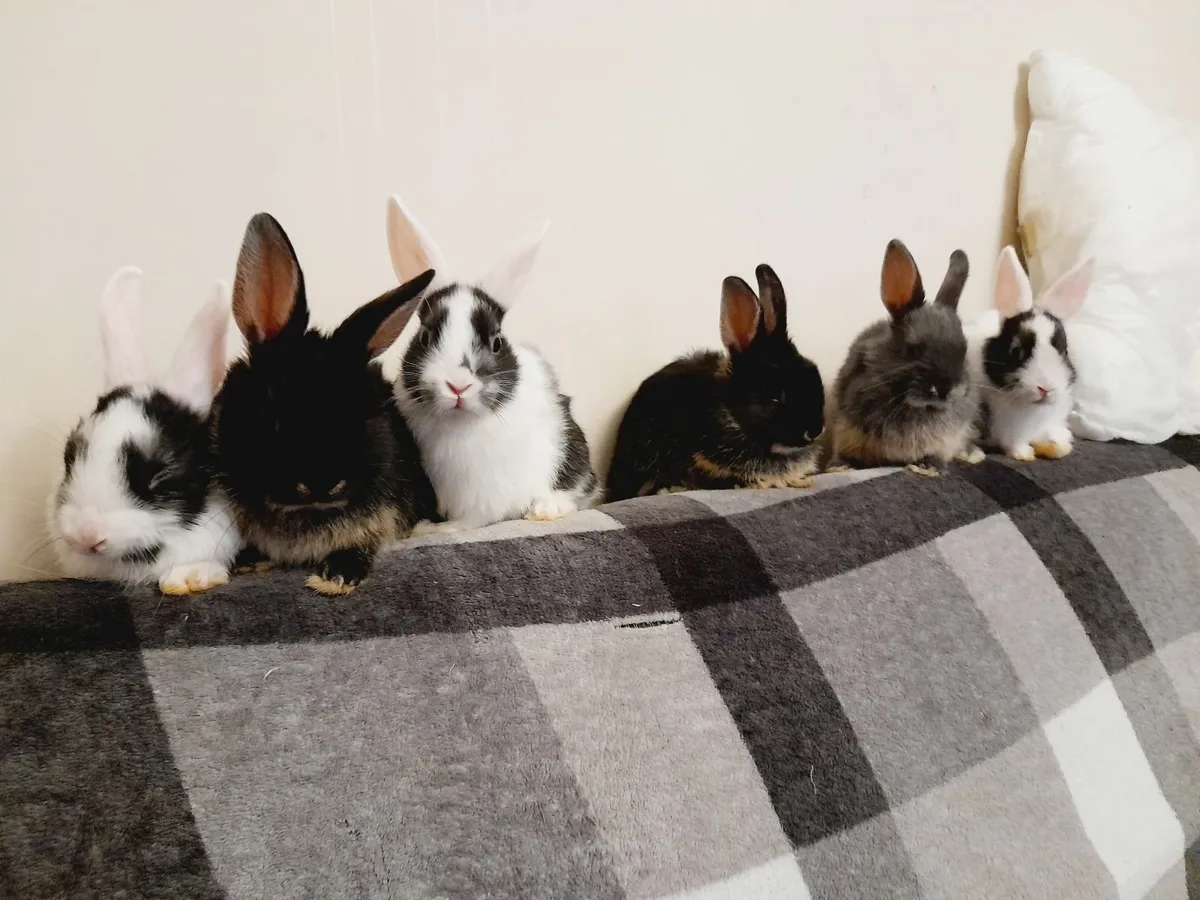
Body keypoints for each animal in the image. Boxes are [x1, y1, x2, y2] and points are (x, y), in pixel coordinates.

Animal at [386, 193, 600, 535]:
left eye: (497, 342)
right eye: (425, 337)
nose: (458, 385)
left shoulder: (485, 501)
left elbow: (474, 520)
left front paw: (441, 530)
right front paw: (429, 527)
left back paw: (546, 508)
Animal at [829, 239, 982, 476]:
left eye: (964, 350)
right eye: (913, 350)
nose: (945, 389)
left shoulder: (946, 440)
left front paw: (929, 467)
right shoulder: (845, 429)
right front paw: (839, 466)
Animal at [976, 246, 1092, 461]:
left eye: (1064, 351)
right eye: (1016, 350)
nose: (1046, 388)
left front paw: (1060, 443)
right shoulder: (1009, 430)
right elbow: (1014, 443)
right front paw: (1024, 454)